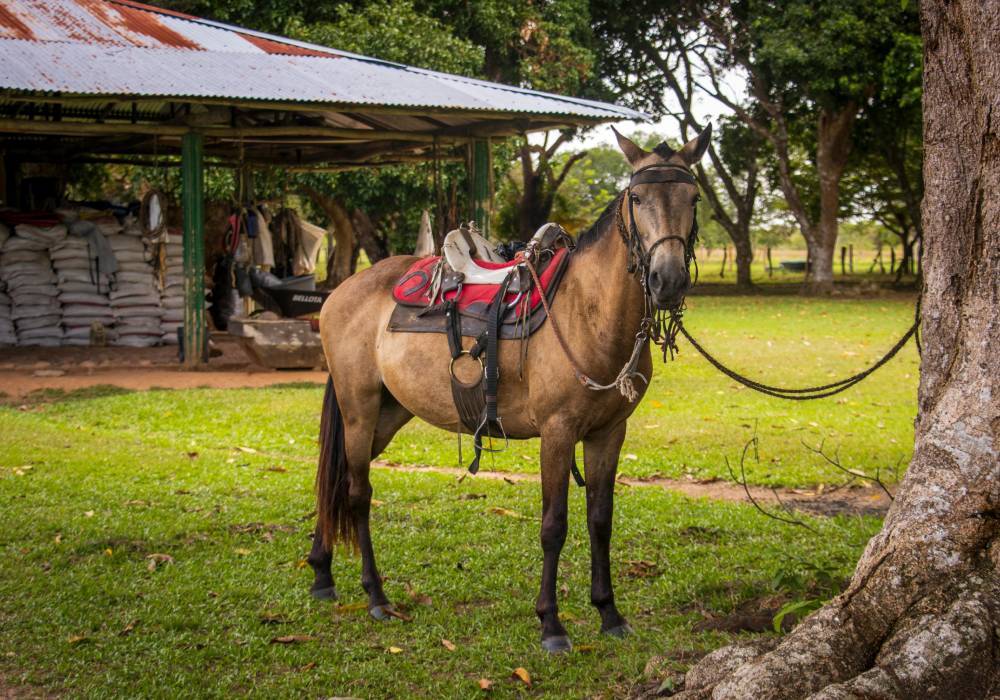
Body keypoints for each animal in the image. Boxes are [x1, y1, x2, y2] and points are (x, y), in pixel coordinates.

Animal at [306, 124, 712, 652]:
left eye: (693, 197)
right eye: (638, 197)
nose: (667, 280)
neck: (587, 313)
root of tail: (341, 292)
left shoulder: (608, 434)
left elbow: (600, 520)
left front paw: (609, 612)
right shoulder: (558, 433)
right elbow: (554, 525)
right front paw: (551, 624)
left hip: (387, 414)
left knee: (335, 479)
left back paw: (321, 574)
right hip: (359, 408)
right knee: (356, 491)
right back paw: (375, 596)